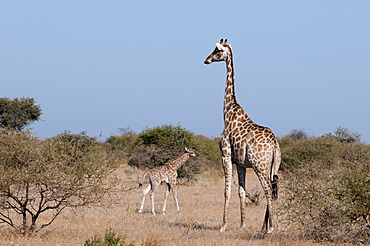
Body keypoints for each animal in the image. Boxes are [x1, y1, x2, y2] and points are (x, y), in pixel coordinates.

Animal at [202, 38, 280, 233]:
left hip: (260, 165)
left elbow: (227, 190)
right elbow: (242, 191)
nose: (206, 60)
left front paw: (223, 225)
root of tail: (275, 144)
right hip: (273, 166)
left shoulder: (226, 155)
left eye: (216, 50)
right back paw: (264, 227)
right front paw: (242, 224)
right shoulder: (240, 163)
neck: (228, 111)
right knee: (273, 188)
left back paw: (271, 228)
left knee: (268, 190)